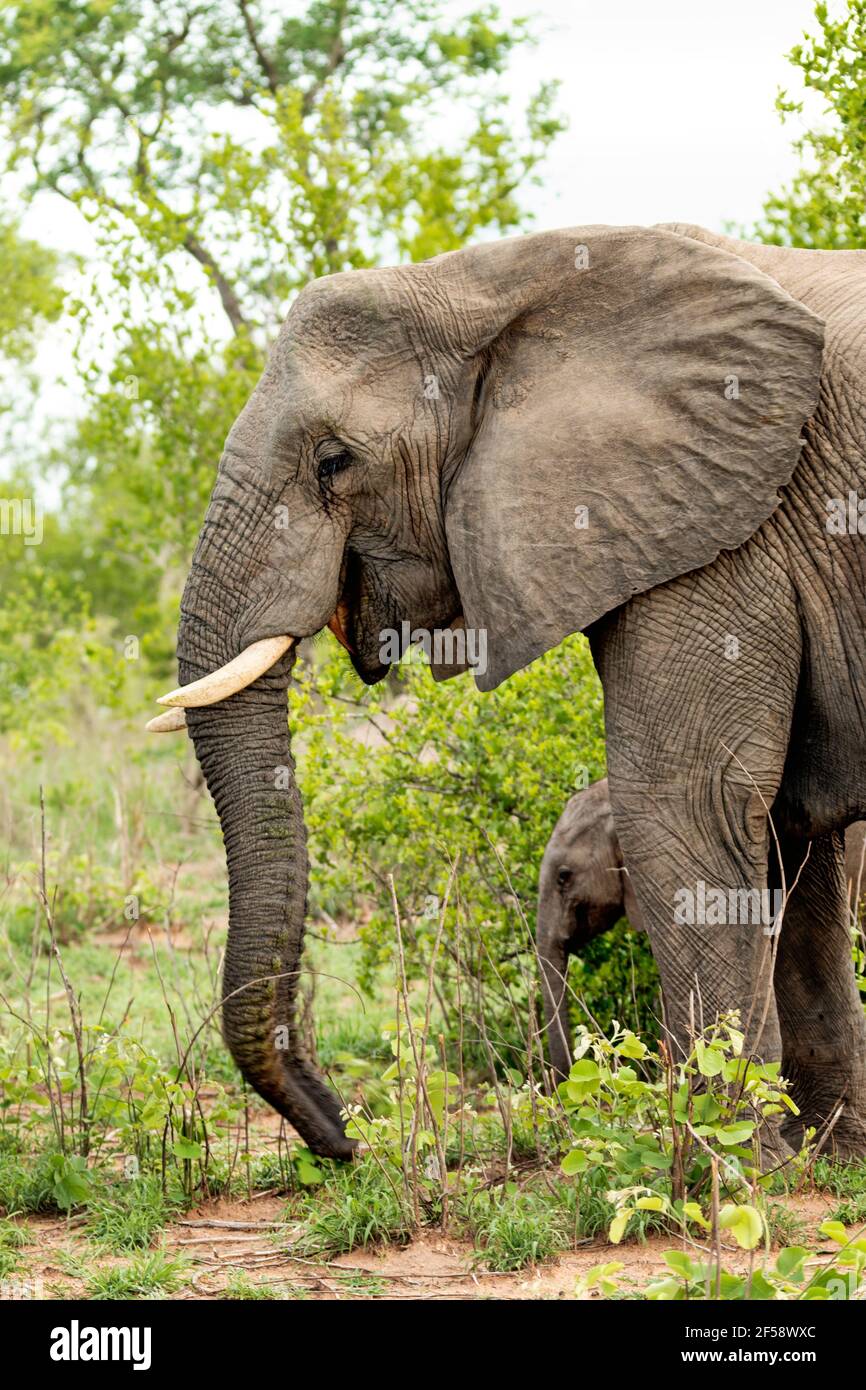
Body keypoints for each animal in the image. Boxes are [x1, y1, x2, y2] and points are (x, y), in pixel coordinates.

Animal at [154, 222, 866, 1156]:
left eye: (333, 462)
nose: (345, 1134)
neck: (491, 283)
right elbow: (789, 829)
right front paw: (821, 1152)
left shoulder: (727, 531)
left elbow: (687, 804)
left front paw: (737, 1157)